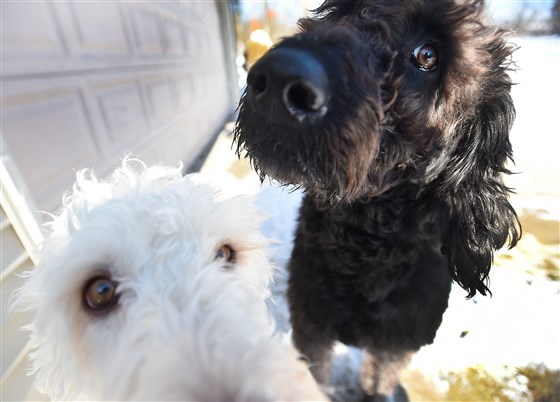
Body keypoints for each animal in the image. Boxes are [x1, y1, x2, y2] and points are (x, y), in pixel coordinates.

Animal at [234, 0, 520, 398]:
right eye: (339, 10)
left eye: (428, 55)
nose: (277, 76)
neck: (365, 246)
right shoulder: (311, 321)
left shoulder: (397, 341)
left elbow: (379, 381)